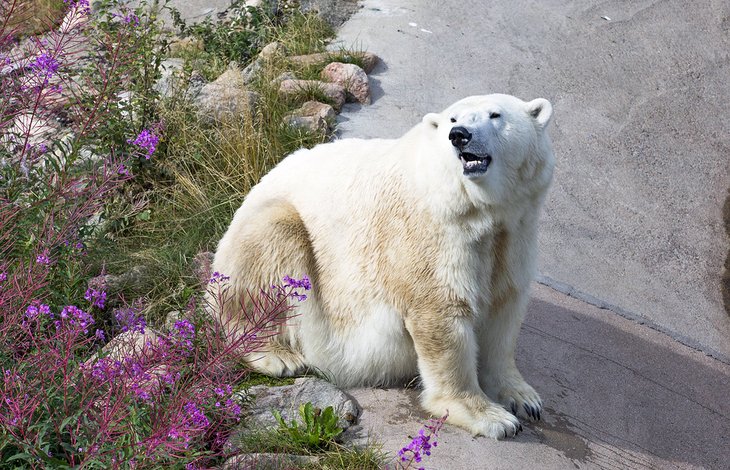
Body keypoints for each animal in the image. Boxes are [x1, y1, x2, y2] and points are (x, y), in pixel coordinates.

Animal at [210, 93, 552, 438]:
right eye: (453, 120)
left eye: (496, 115)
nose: (460, 136)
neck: (475, 209)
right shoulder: (430, 233)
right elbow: (441, 313)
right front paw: (492, 418)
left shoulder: (515, 231)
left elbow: (503, 312)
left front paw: (524, 398)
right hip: (265, 239)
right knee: (271, 244)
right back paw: (278, 356)